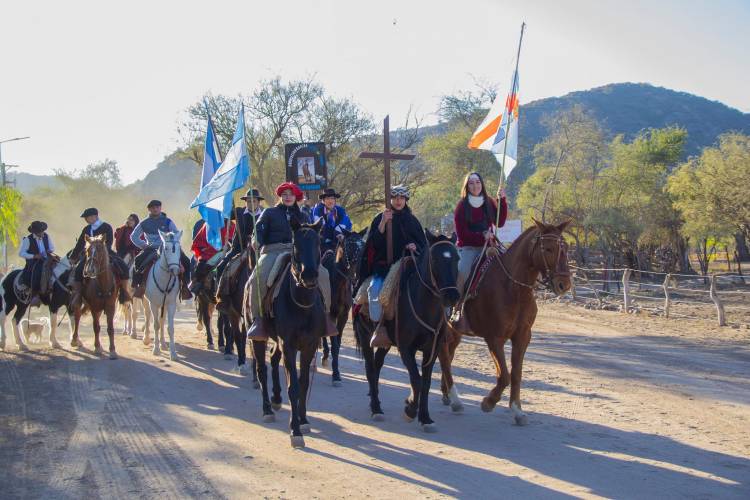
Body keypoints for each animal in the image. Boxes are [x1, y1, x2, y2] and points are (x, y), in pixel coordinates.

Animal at [145, 229, 184, 362]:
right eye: (166, 248)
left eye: (178, 248)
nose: (175, 270)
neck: (164, 279)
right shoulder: (153, 304)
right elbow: (156, 325)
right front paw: (156, 349)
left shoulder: (170, 304)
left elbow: (170, 327)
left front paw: (173, 353)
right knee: (147, 316)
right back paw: (146, 338)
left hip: (164, 305)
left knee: (162, 321)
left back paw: (163, 344)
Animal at [253, 219, 326, 450]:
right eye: (296, 245)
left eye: (318, 243)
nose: (309, 275)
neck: (302, 304)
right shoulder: (289, 345)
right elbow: (293, 386)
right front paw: (295, 431)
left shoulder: (309, 345)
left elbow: (303, 383)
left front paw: (303, 421)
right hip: (259, 338)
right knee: (261, 369)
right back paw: (267, 408)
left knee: (274, 358)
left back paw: (276, 399)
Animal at [320, 229, 368, 384]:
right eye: (350, 246)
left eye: (363, 245)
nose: (358, 273)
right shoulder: (331, 314)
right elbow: (334, 344)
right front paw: (335, 374)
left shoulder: (343, 315)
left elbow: (338, 343)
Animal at [354, 230, 464, 430]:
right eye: (435, 259)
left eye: (457, 258)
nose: (452, 296)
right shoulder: (406, 348)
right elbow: (416, 379)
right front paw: (411, 409)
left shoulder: (432, 349)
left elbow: (426, 382)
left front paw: (425, 417)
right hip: (365, 336)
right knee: (370, 369)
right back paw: (376, 409)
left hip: (385, 343)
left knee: (377, 366)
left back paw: (376, 401)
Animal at [440, 221, 576, 424]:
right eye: (548, 248)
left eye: (565, 248)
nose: (564, 284)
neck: (513, 288)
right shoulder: (494, 338)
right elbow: (504, 375)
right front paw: (488, 402)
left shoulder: (522, 336)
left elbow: (516, 374)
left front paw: (517, 410)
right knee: (443, 356)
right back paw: (455, 399)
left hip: (455, 332)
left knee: (448, 355)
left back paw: (447, 394)